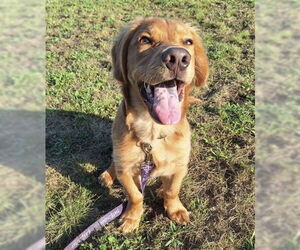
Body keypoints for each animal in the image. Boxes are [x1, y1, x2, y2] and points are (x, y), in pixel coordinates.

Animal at [99, 17, 207, 232]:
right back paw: (107, 175)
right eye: (145, 40)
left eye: (188, 42)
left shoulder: (180, 166)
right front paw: (132, 217)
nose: (178, 58)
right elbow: (135, 196)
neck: (152, 131)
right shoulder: (126, 171)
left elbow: (172, 191)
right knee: (114, 161)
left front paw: (174, 209)